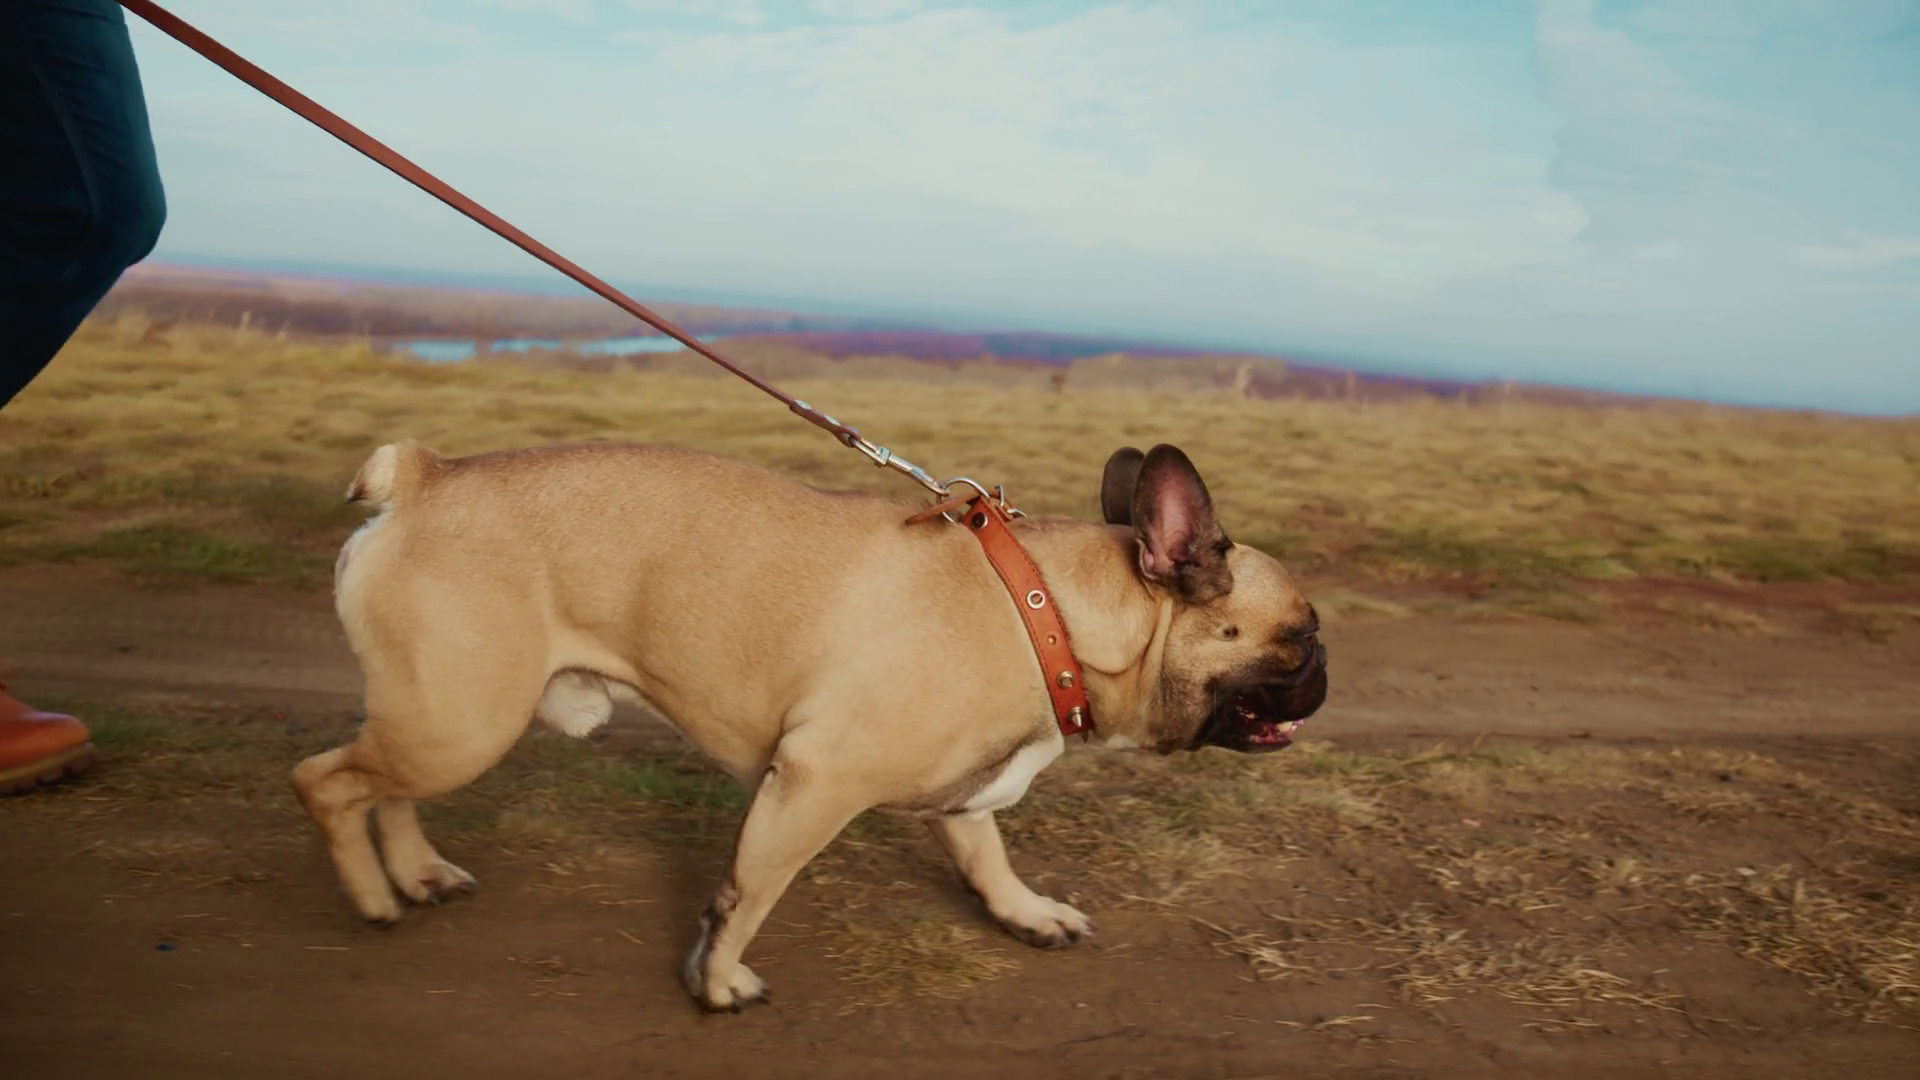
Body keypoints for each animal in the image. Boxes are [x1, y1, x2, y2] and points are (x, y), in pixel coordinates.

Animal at [293, 440, 1328, 1011]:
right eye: (1301, 634)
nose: (1325, 673)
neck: (1054, 611)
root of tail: (425, 478)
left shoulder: (966, 782)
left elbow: (984, 852)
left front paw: (1025, 912)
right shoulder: (814, 783)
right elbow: (748, 894)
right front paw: (718, 982)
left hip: (438, 719)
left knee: (385, 788)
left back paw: (417, 872)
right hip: (461, 718)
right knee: (329, 782)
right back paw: (377, 897)